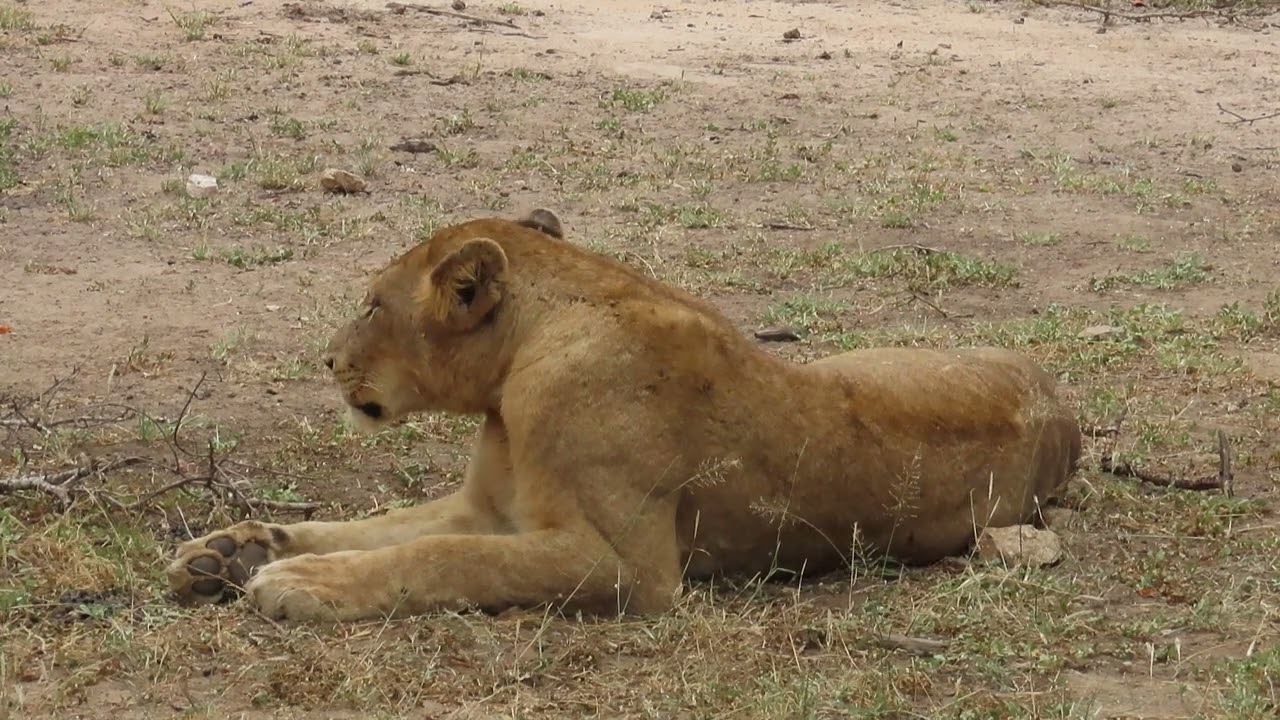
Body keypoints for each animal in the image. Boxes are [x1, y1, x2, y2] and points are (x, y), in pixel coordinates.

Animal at [167, 208, 1082, 623]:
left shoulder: (629, 569)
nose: (327, 361)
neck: (515, 371)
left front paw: (300, 584)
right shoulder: (486, 505)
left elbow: (444, 557)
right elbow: (378, 526)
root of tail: (1067, 416)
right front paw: (229, 552)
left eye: (370, 305)